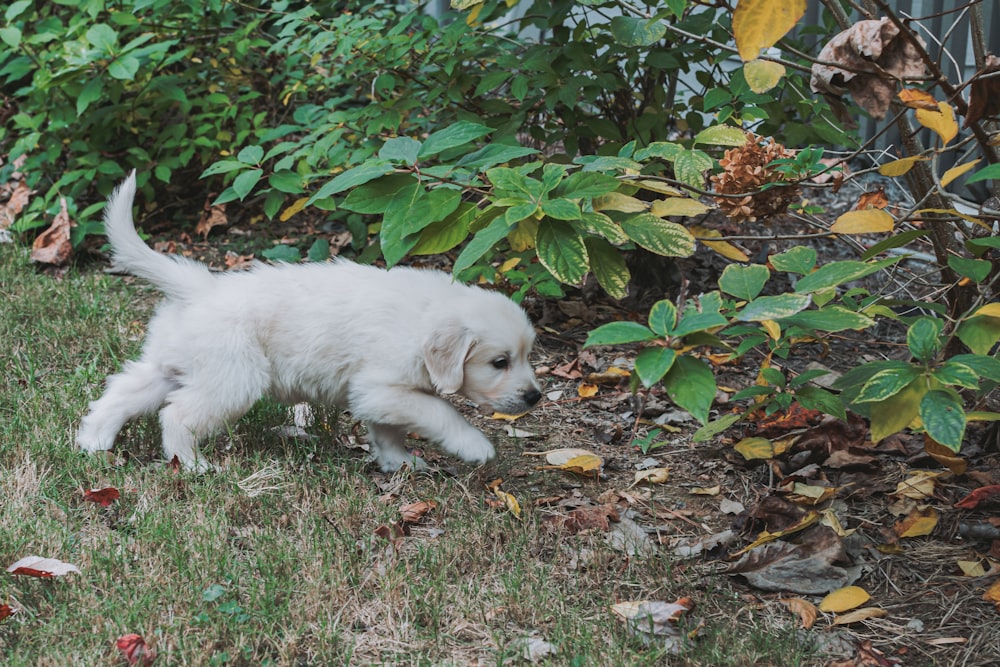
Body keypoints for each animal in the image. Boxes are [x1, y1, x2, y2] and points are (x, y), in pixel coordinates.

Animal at [79, 172, 544, 474]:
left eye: (526, 356)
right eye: (499, 362)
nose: (535, 397)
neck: (426, 315)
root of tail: (202, 287)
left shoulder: (379, 397)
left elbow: (389, 432)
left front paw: (399, 464)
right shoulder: (381, 386)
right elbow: (441, 411)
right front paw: (474, 446)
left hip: (173, 364)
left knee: (121, 393)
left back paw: (93, 442)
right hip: (233, 378)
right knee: (176, 415)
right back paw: (193, 465)